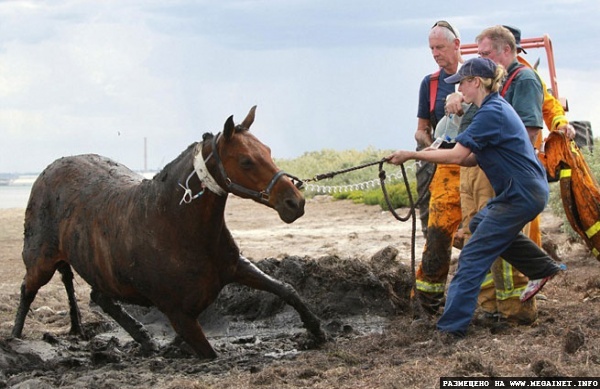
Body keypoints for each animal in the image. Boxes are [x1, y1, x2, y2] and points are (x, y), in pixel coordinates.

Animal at [10, 105, 328, 358]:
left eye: (269, 151)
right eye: (246, 160)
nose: (294, 202)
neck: (174, 226)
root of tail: (48, 171)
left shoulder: (236, 267)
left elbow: (286, 289)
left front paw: (317, 332)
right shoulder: (180, 316)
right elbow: (210, 353)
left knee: (99, 298)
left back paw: (144, 338)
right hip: (41, 263)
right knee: (28, 290)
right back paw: (15, 338)